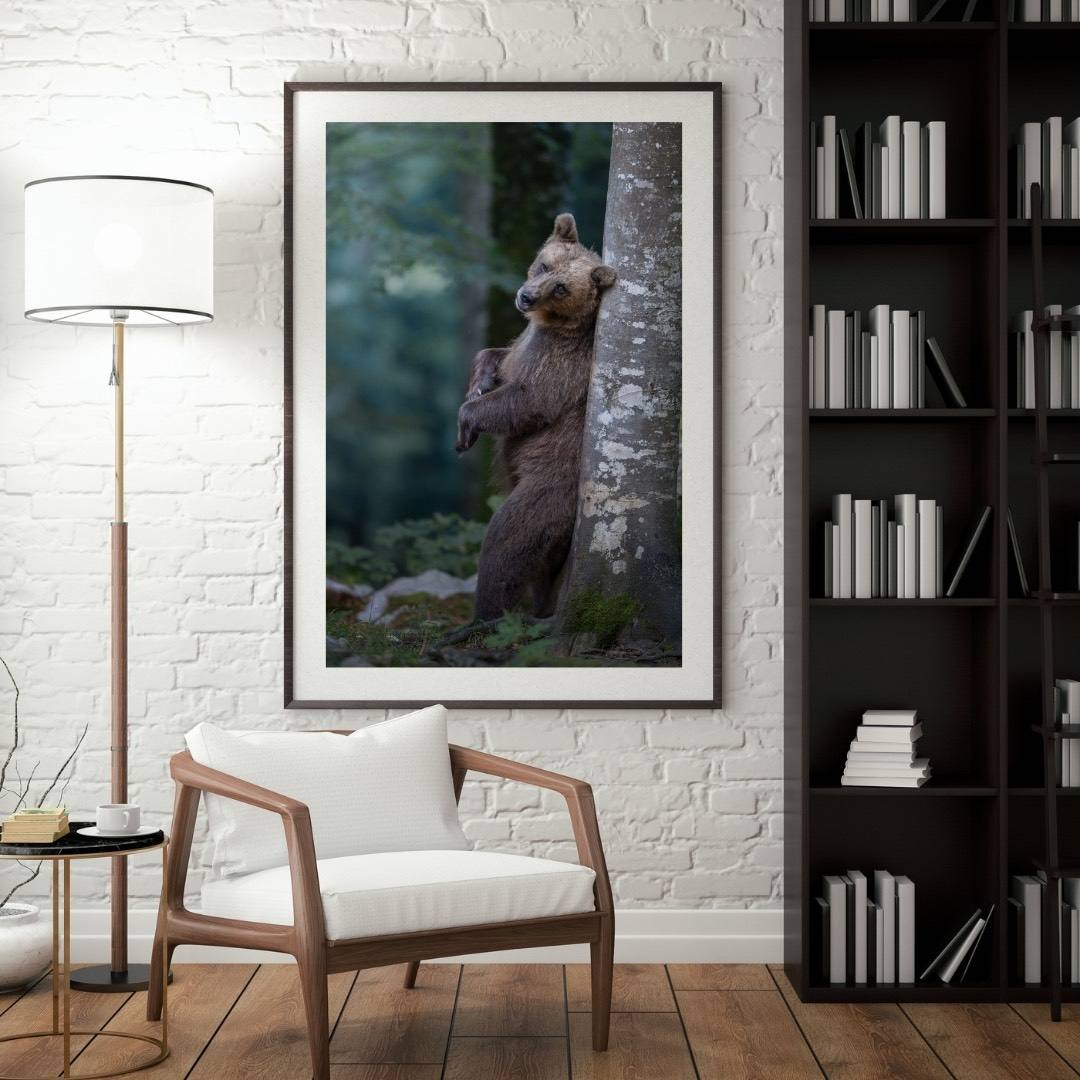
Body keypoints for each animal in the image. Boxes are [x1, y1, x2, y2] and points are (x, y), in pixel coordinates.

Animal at [456, 212, 617, 622]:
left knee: (508, 538)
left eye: (561, 287)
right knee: (542, 566)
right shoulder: (525, 342)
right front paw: (478, 384)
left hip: (550, 485)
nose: (526, 296)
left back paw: (485, 617)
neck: (550, 324)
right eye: (545, 264)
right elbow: (497, 356)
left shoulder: (563, 362)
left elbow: (530, 400)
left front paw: (466, 422)